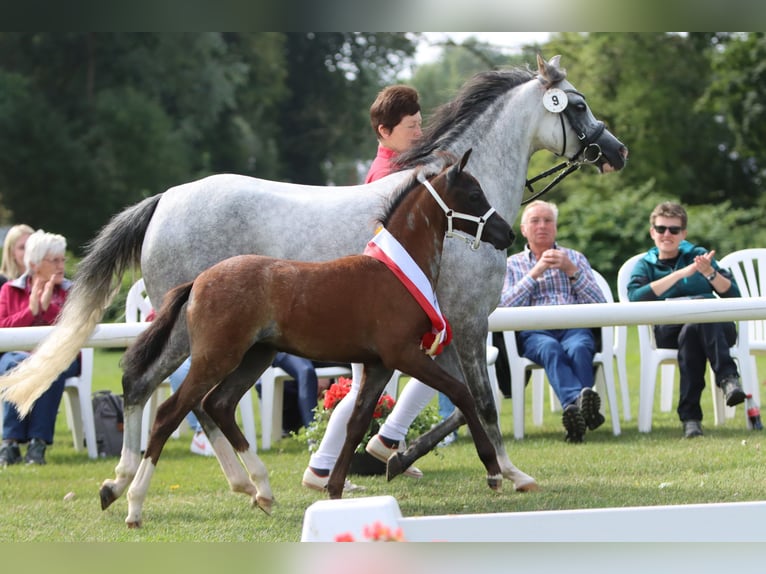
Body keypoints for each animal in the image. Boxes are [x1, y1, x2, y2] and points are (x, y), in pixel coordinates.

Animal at [0, 55, 628, 512]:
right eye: (576, 105)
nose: (616, 151)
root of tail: (164, 200)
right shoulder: (467, 325)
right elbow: (482, 403)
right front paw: (509, 472)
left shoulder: (434, 334)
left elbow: (439, 403)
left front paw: (383, 456)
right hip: (194, 332)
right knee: (153, 387)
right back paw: (132, 484)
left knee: (191, 399)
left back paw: (240, 485)